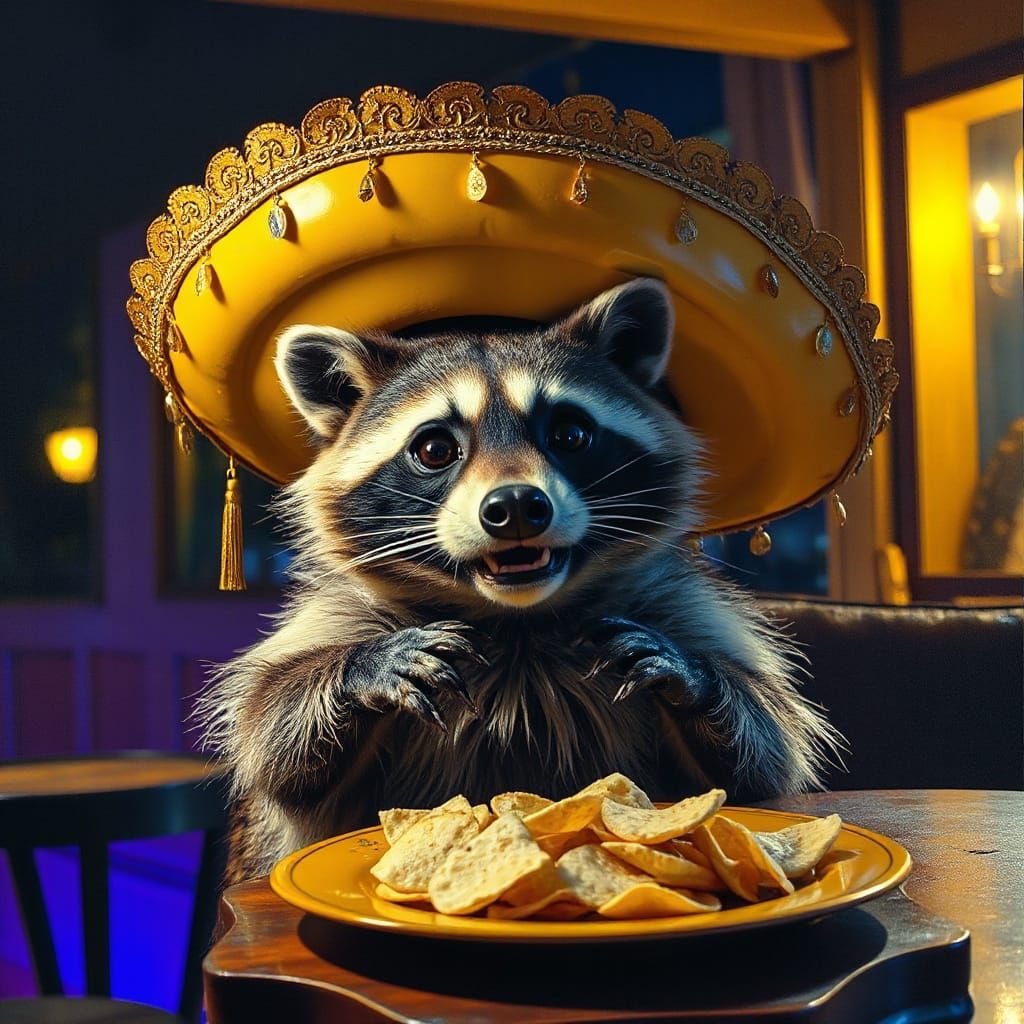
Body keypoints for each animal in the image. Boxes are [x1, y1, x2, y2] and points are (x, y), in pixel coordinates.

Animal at [198, 278, 842, 882]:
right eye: (435, 448)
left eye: (570, 435)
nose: (514, 508)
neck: (518, 620)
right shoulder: (340, 616)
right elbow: (275, 740)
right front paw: (360, 670)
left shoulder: (676, 605)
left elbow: (763, 753)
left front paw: (697, 679)